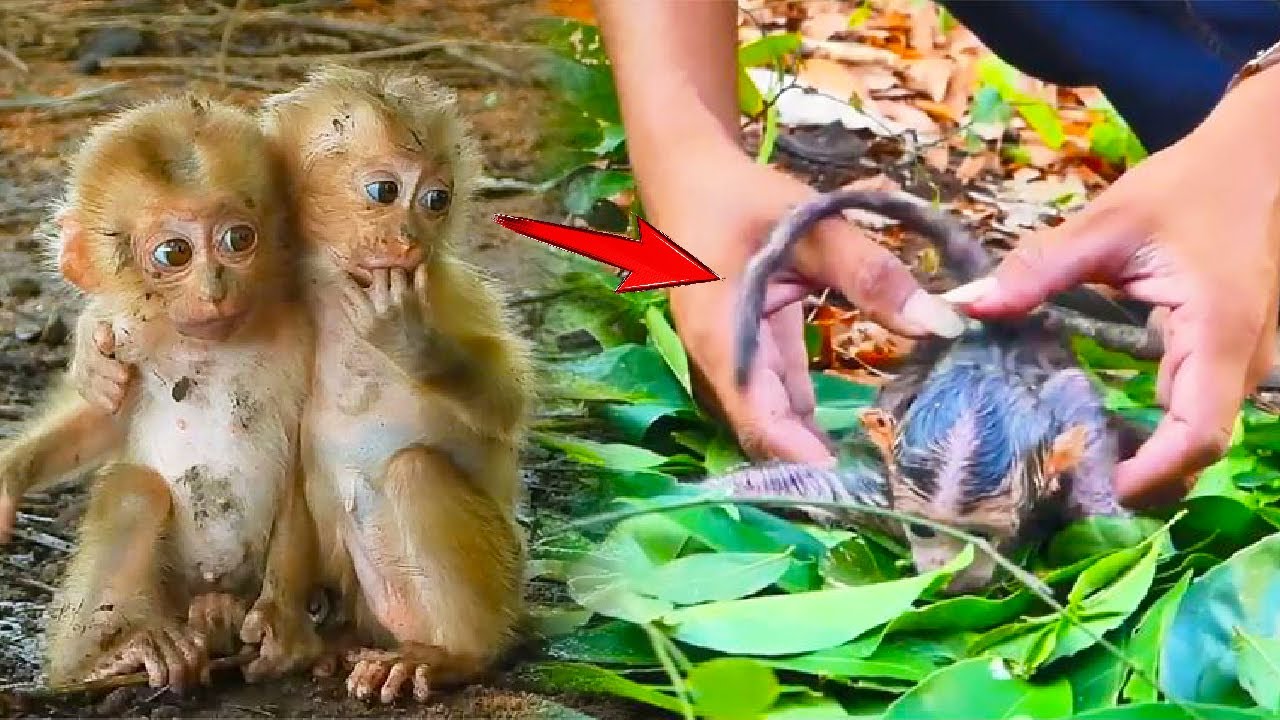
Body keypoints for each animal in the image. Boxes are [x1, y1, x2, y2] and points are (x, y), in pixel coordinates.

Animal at [0, 95, 324, 691]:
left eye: (238, 239)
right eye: (174, 253)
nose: (215, 288)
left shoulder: (308, 334)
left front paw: (282, 626)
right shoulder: (130, 332)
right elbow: (103, 418)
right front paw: (11, 476)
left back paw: (225, 614)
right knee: (137, 492)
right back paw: (104, 658)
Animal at [255, 65, 534, 703]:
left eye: (436, 200)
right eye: (384, 192)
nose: (409, 236)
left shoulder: (445, 289)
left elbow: (508, 401)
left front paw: (412, 344)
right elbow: (286, 468)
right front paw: (280, 616)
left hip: (503, 583)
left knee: (415, 471)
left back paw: (450, 656)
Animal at [724, 189, 1150, 593]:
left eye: (980, 536)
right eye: (923, 530)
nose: (948, 573)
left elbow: (1074, 398)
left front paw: (1099, 502)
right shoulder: (879, 498)